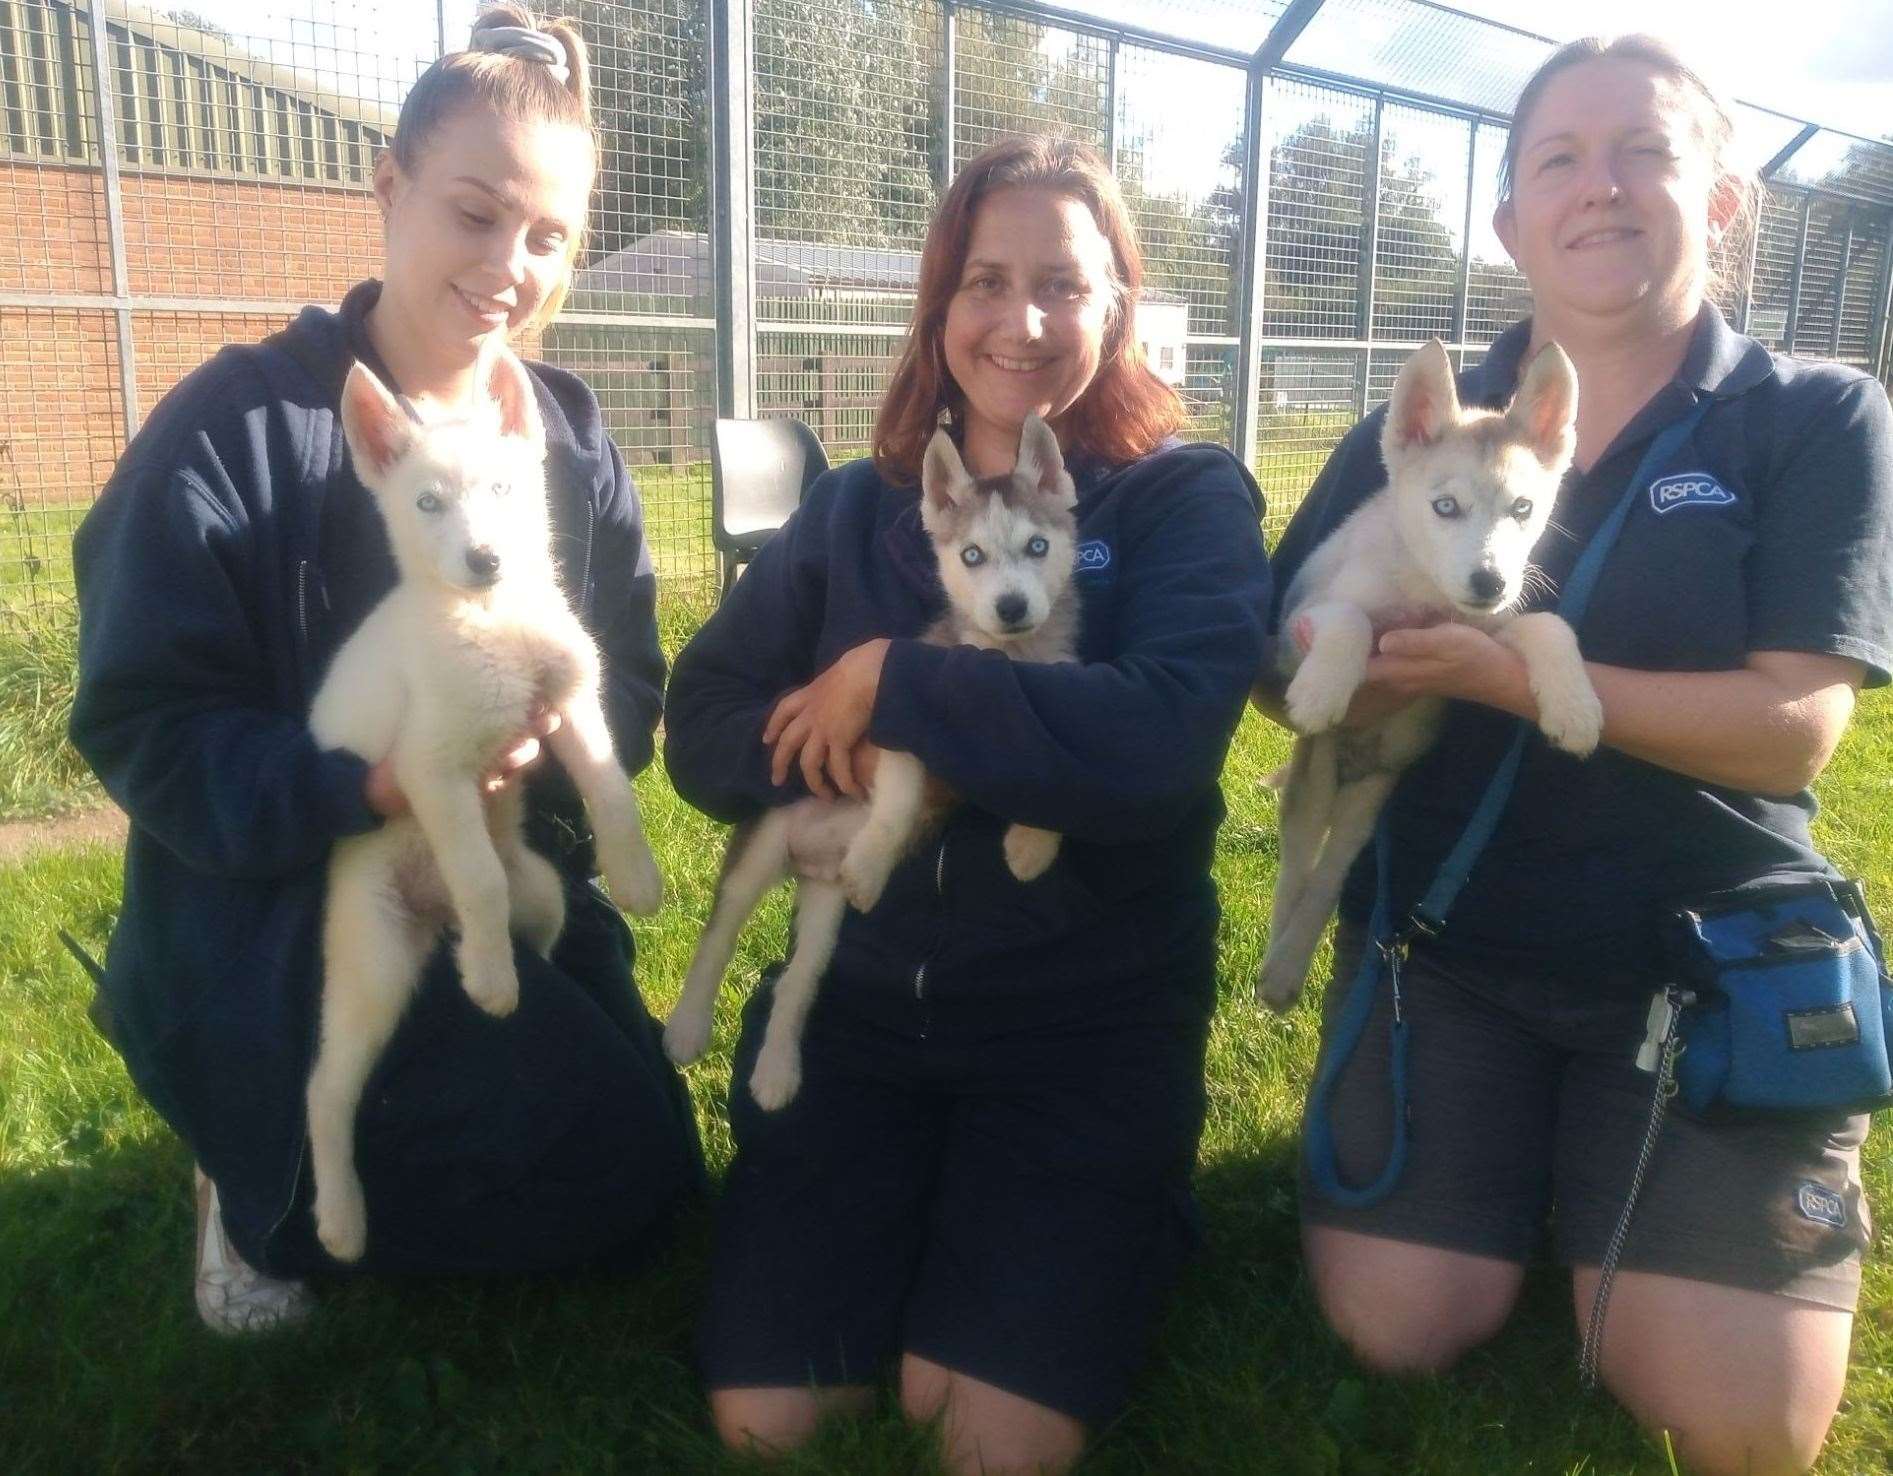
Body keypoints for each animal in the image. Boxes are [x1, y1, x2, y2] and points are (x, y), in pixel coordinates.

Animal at [306, 351, 662, 1264]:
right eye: (427, 503)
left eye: (503, 488)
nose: (486, 560)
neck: (492, 620)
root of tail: (428, 920)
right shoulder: (429, 772)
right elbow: (477, 876)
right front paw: (496, 988)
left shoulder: (572, 706)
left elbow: (609, 785)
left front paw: (636, 878)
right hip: (373, 957)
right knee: (326, 1091)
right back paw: (341, 1219)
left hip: (543, 894)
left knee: (526, 913)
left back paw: (495, 957)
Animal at [662, 414, 1082, 1105]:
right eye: (971, 556)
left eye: (1038, 546)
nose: (1012, 608)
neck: (1006, 659)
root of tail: (807, 863)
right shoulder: (895, 723)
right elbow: (898, 802)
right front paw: (874, 856)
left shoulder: (1049, 715)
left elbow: (1053, 773)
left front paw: (1030, 847)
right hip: (762, 843)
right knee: (716, 937)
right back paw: (688, 1026)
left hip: (825, 916)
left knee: (798, 982)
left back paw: (777, 1073)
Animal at [1256, 342, 1597, 1014]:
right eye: (1446, 507)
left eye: (1523, 509)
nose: (1489, 581)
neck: (1424, 591)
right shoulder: (1298, 627)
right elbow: (1351, 619)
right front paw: (1323, 688)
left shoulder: (1489, 630)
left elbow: (1548, 627)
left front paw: (1575, 708)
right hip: (1315, 781)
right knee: (1298, 870)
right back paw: (1279, 968)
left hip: (1373, 792)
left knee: (1330, 874)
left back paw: (1287, 967)